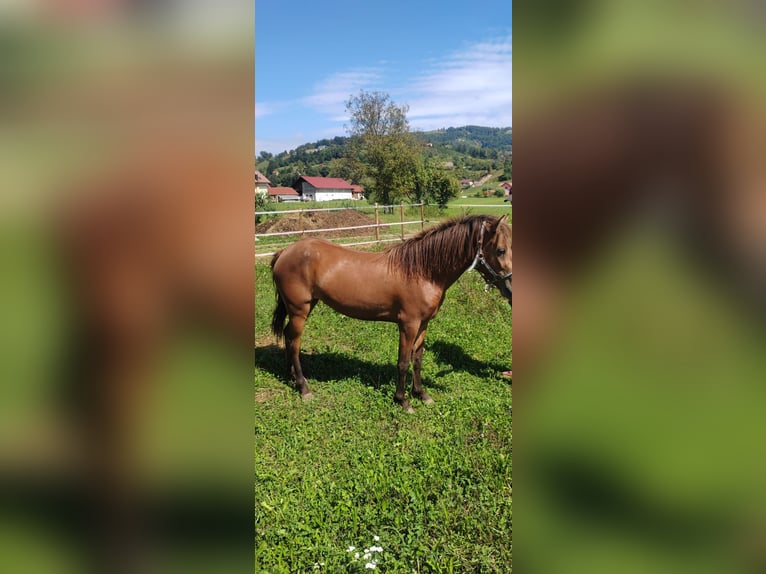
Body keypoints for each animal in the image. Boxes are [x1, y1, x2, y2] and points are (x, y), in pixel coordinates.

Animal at [270, 214, 510, 412]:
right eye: (501, 250)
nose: (510, 288)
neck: (423, 271)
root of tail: (285, 252)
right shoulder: (408, 325)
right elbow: (403, 362)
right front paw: (403, 401)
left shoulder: (423, 324)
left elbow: (417, 359)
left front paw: (421, 394)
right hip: (299, 310)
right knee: (294, 343)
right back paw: (304, 388)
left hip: (304, 307)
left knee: (288, 337)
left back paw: (292, 378)